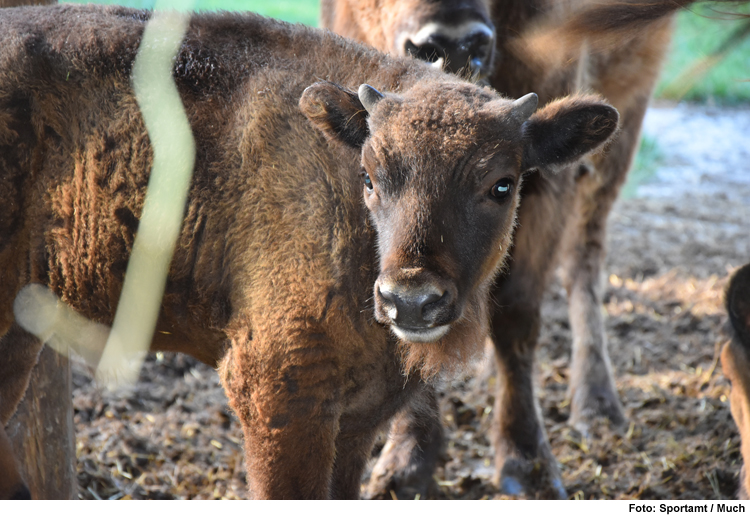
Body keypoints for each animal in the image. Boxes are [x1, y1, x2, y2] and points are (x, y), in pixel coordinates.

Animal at [324, 0, 676, 498]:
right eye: (369, 178)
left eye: (501, 185)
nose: (453, 42)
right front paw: (406, 465)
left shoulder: (547, 178)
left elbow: (518, 313)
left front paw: (526, 463)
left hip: (619, 132)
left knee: (584, 258)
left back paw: (597, 405)